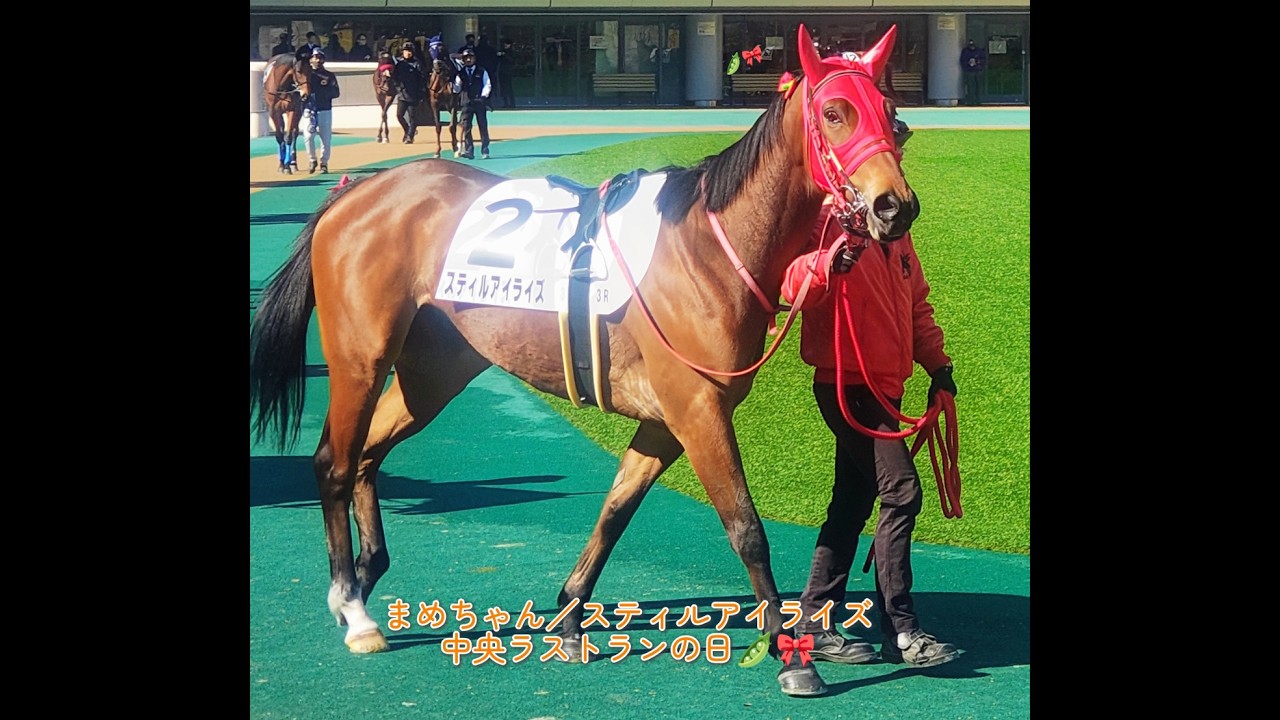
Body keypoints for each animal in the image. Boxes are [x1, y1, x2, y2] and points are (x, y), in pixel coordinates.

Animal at [249, 24, 917, 696]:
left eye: (892, 116)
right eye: (834, 113)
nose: (895, 207)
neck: (709, 245)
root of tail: (357, 190)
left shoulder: (665, 421)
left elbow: (615, 511)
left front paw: (571, 618)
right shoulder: (698, 410)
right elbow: (747, 530)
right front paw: (792, 656)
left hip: (432, 373)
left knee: (367, 455)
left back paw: (364, 577)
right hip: (361, 358)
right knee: (334, 462)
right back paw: (352, 605)